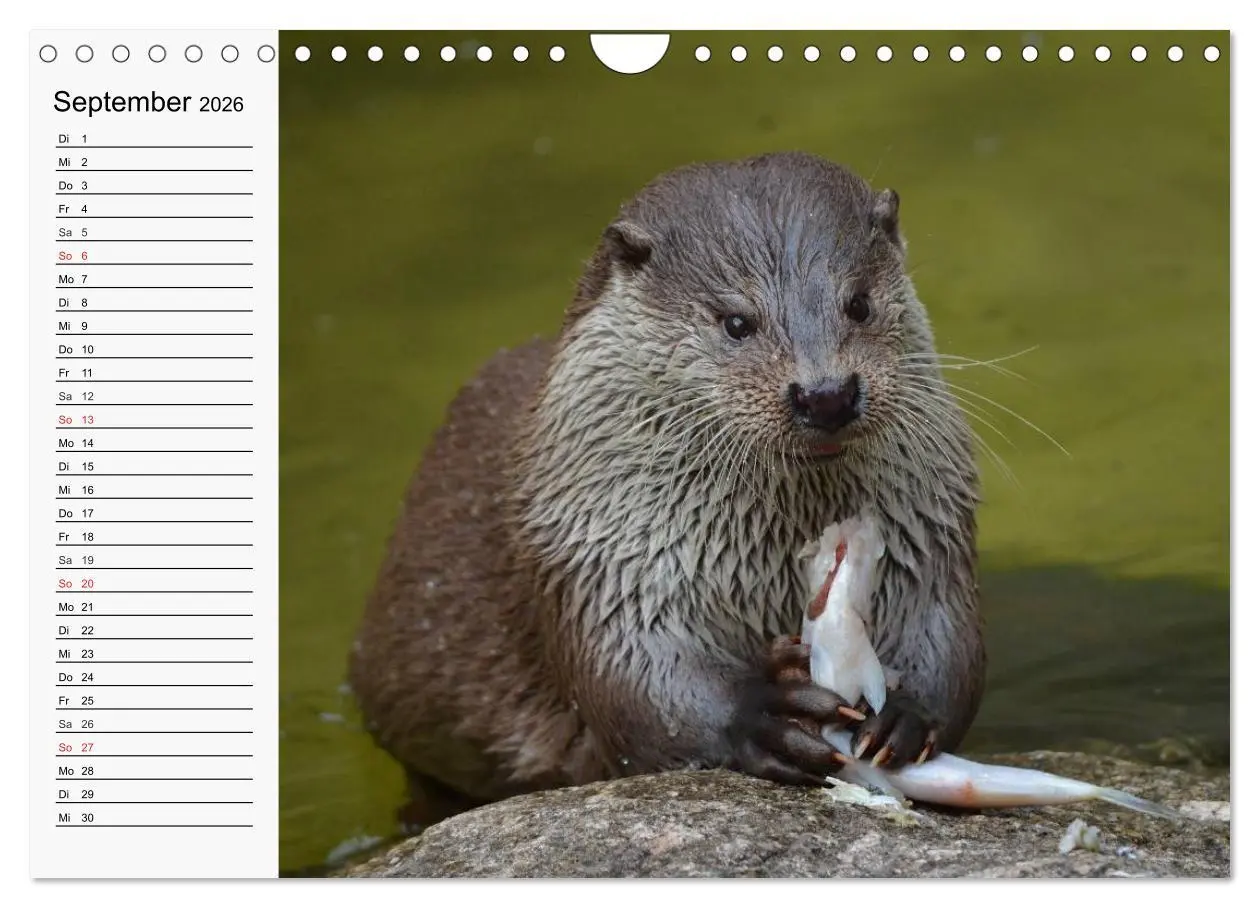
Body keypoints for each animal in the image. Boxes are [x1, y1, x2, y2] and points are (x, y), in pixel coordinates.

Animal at [349, 151, 983, 816]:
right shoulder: (597, 555)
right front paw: (761, 714)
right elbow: (638, 685)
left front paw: (908, 714)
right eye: (737, 322)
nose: (826, 394)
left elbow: (948, 637)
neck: (768, 554)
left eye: (858, 304)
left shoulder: (929, 527)